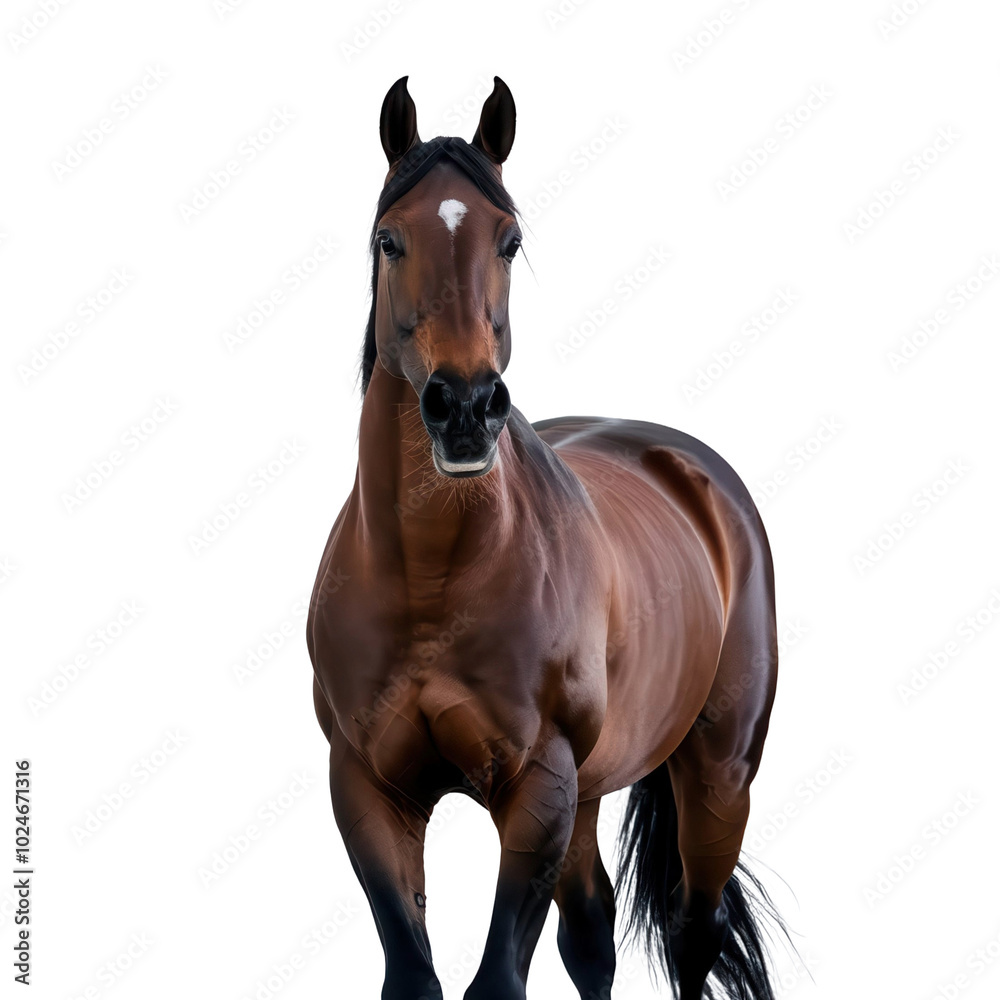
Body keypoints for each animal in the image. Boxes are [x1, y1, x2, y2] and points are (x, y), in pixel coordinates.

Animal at [307, 76, 789, 1000]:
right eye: (389, 239)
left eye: (509, 240)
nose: (464, 407)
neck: (434, 577)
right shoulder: (368, 789)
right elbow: (415, 976)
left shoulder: (538, 788)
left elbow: (498, 979)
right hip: (591, 796)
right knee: (594, 935)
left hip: (717, 777)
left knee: (693, 935)